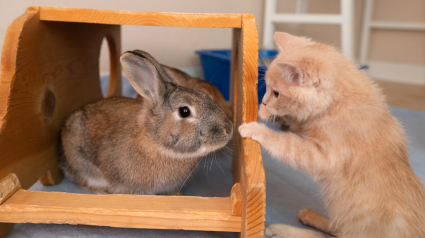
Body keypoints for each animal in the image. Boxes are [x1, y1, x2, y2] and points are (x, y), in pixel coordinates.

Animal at [238, 32, 424, 238]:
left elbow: (287, 144)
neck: (338, 104)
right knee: (336, 226)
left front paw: (258, 127)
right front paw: (264, 111)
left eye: (276, 93)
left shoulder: (324, 156)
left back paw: (282, 229)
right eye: (268, 88)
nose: (263, 101)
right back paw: (310, 216)